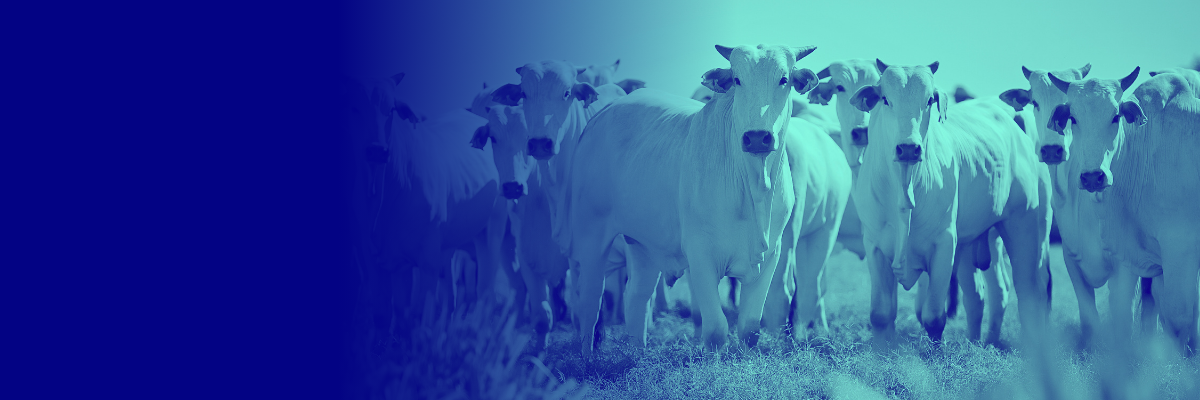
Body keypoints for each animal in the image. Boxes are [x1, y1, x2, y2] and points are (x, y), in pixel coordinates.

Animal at [554, 44, 820, 355]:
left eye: (783, 79)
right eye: (737, 80)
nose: (757, 137)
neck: (753, 188)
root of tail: (603, 112)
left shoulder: (770, 256)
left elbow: (750, 329)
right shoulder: (700, 255)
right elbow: (716, 329)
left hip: (641, 243)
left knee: (636, 297)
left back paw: (637, 352)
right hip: (591, 235)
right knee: (590, 299)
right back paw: (588, 356)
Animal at [849, 60, 1053, 345]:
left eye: (928, 101)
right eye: (885, 99)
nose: (909, 148)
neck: (904, 188)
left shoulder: (945, 244)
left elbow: (934, 318)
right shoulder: (875, 246)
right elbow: (880, 315)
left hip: (1027, 230)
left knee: (1030, 292)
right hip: (974, 243)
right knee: (981, 296)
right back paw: (982, 341)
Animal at [1047, 67, 1200, 354]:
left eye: (1115, 116)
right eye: (1073, 118)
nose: (1092, 177)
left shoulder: (1181, 247)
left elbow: (1179, 317)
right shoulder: (1129, 257)